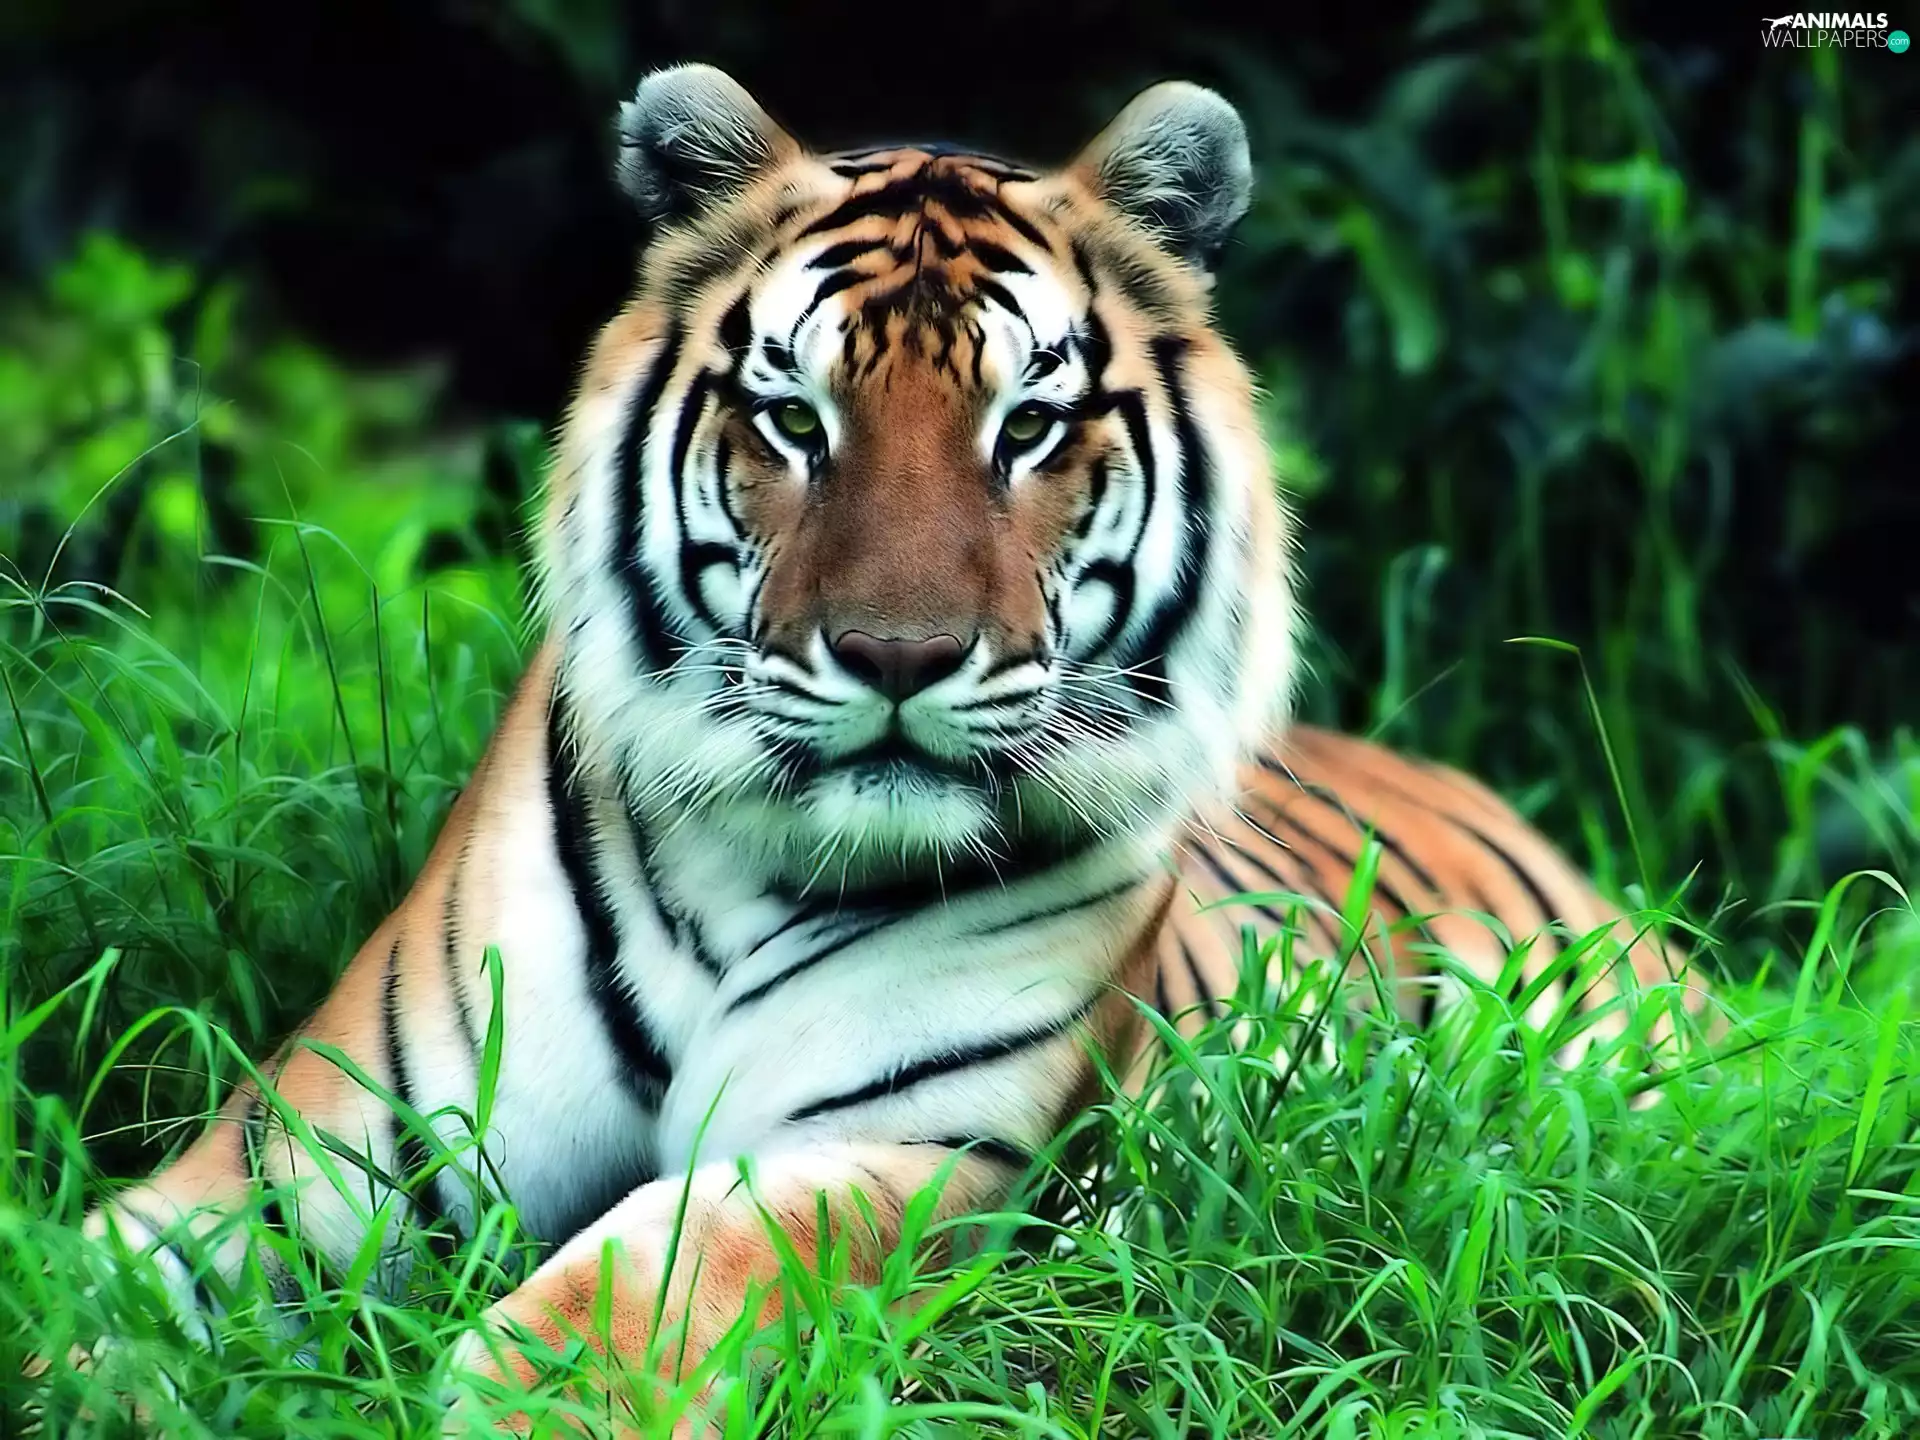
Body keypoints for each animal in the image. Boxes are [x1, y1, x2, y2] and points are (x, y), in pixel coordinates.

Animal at [72, 64, 1707, 1436]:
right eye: (796, 420)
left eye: (1029, 427)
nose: (901, 658)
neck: (734, 887)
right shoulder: (304, 1163)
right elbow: (89, 1288)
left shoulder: (913, 1151)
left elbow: (631, 1298)